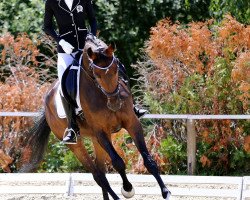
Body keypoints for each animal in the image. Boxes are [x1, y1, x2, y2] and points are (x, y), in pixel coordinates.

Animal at [20, 36, 171, 200]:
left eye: (117, 69)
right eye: (96, 75)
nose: (115, 103)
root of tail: (47, 102)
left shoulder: (132, 123)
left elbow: (149, 160)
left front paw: (165, 192)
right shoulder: (101, 131)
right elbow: (118, 162)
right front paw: (127, 189)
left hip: (95, 139)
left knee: (101, 171)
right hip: (76, 144)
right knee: (97, 175)